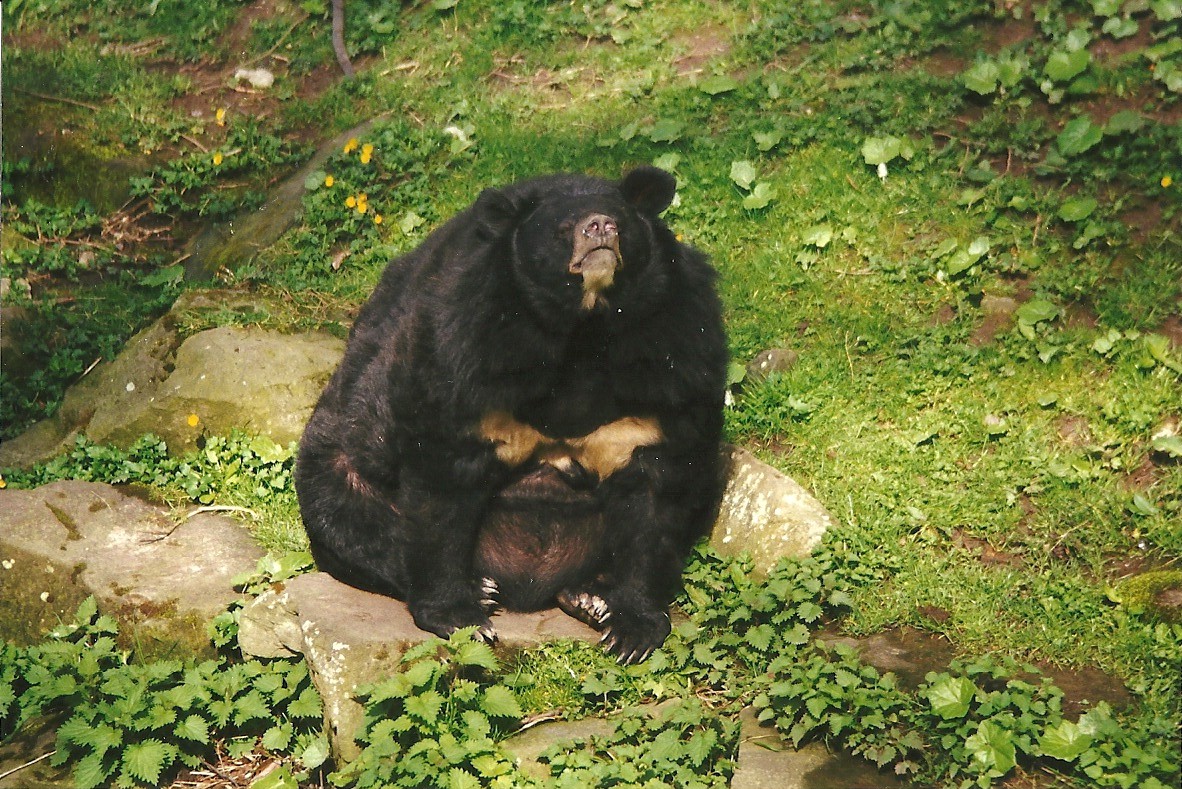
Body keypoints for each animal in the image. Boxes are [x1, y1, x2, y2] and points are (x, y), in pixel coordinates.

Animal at [295, 166, 727, 664]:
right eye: (563, 228)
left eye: (620, 220)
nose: (599, 228)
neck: (583, 329)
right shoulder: (467, 342)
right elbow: (444, 480)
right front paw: (462, 617)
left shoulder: (672, 352)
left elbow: (658, 489)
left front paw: (630, 631)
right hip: (339, 445)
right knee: (345, 504)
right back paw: (483, 585)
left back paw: (588, 594)